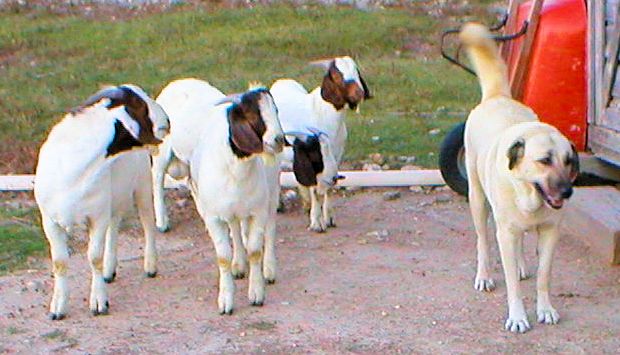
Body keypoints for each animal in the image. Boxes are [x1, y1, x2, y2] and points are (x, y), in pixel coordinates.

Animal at [34, 85, 170, 320]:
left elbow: (94, 257)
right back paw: (109, 271)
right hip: (112, 199)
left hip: (142, 187)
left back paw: (150, 266)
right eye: (139, 104)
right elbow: (59, 262)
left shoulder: (96, 216)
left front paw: (99, 302)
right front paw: (58, 307)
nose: (167, 121)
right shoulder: (50, 221)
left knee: (148, 225)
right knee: (114, 228)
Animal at [270, 56, 368, 234]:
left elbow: (329, 186)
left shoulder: (335, 157)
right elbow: (316, 189)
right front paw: (317, 223)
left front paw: (329, 218)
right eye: (336, 75)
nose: (359, 93)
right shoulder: (313, 155)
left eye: (356, 71)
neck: (323, 112)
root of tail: (281, 81)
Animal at [460, 23, 580, 336]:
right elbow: (511, 282)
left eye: (568, 161)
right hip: (477, 201)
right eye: (544, 160)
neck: (530, 198)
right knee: (483, 240)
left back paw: (522, 264)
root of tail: (497, 97)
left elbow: (544, 275)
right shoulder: (506, 231)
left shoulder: (550, 232)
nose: (567, 192)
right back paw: (485, 275)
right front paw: (517, 317)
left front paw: (545, 309)